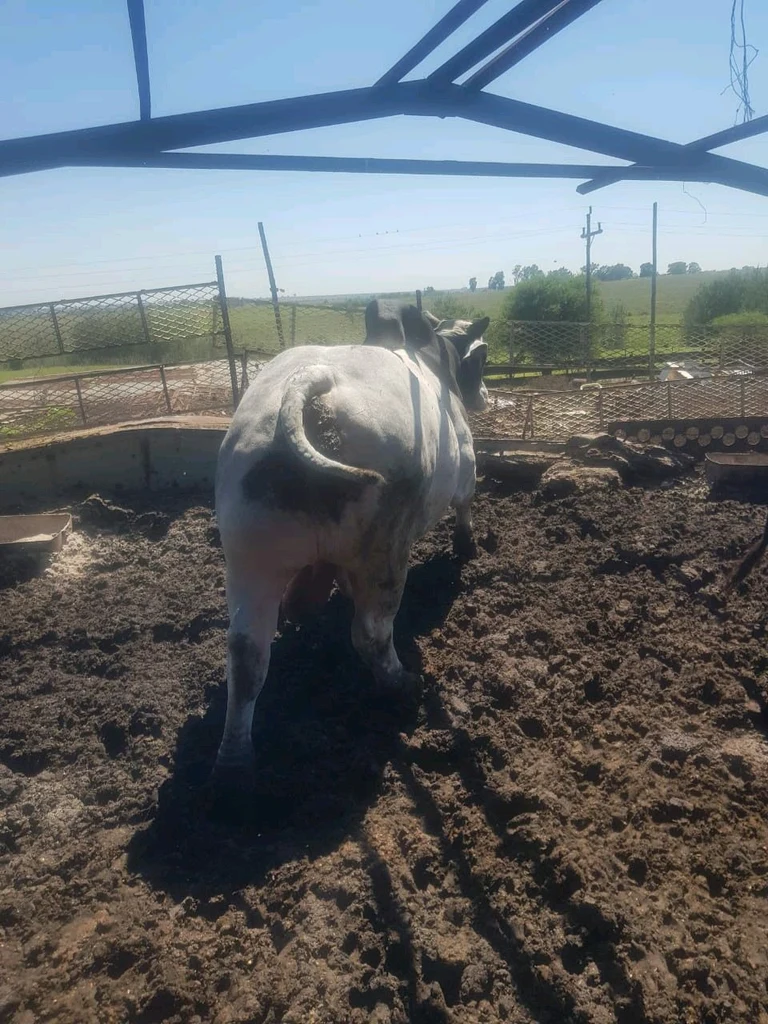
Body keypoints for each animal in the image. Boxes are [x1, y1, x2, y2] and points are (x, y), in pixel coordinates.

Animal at [212, 301, 490, 792]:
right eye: (481, 359)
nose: (483, 396)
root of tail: (309, 383)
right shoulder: (467, 463)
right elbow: (465, 507)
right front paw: (467, 546)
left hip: (250, 561)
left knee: (246, 655)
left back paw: (234, 761)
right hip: (385, 554)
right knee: (371, 633)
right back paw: (402, 683)